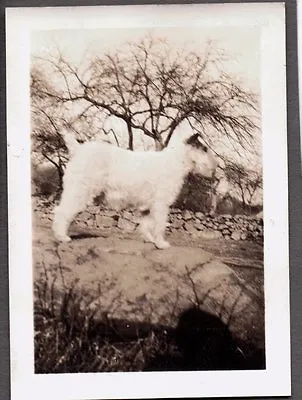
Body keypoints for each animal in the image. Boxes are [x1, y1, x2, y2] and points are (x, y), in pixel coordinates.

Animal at [52, 133, 217, 248]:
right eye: (204, 149)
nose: (215, 168)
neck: (176, 161)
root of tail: (79, 150)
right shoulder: (161, 204)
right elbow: (159, 225)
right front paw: (161, 244)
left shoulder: (148, 207)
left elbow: (146, 225)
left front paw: (150, 240)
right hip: (79, 192)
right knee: (62, 212)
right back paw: (62, 237)